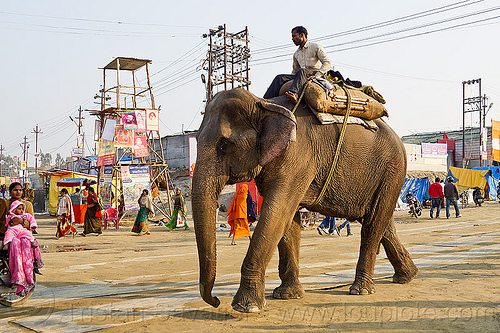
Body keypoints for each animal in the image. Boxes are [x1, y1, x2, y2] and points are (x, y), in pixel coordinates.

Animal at [191, 87, 418, 312]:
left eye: (224, 145)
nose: (216, 300)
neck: (265, 105)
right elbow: (287, 221)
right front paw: (287, 295)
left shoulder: (297, 157)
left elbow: (277, 214)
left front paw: (246, 307)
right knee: (381, 221)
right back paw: (407, 276)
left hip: (393, 169)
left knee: (374, 223)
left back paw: (361, 290)